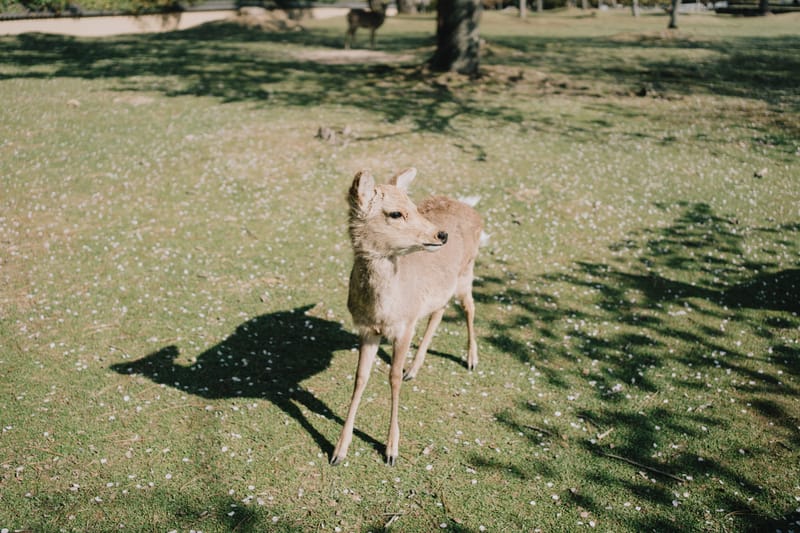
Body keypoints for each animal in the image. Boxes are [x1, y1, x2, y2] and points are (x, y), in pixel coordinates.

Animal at [330, 168, 483, 466]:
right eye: (395, 213)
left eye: (413, 206)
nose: (441, 234)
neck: (383, 310)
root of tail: (473, 210)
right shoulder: (366, 329)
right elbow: (360, 378)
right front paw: (338, 451)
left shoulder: (404, 327)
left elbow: (393, 377)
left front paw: (391, 450)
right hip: (445, 286)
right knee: (439, 310)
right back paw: (414, 368)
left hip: (467, 271)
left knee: (470, 307)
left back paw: (471, 359)